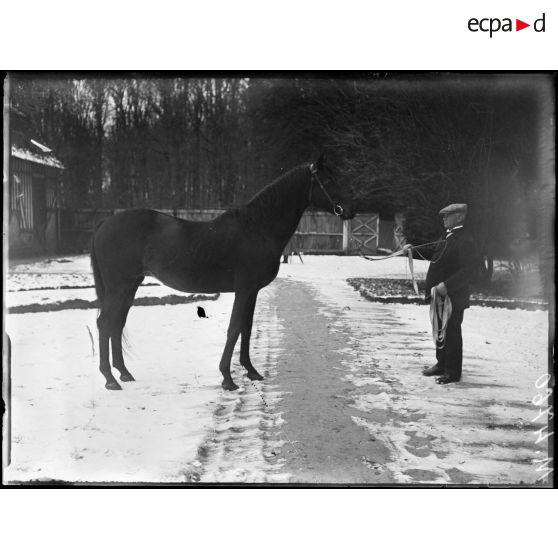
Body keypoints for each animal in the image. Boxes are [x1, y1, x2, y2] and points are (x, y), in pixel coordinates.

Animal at [91, 155, 355, 391]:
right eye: (328, 180)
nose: (351, 210)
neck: (257, 228)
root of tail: (104, 224)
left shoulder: (252, 292)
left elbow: (246, 329)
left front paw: (251, 371)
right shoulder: (245, 290)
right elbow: (235, 328)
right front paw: (228, 379)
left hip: (131, 285)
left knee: (117, 324)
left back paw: (124, 373)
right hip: (120, 286)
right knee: (105, 323)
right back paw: (110, 380)